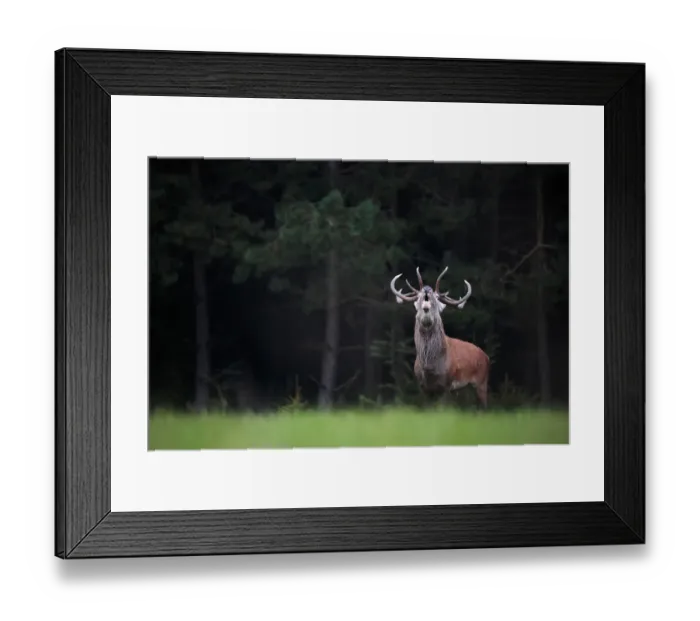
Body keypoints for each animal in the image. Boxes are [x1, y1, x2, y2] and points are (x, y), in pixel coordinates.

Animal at [390, 266, 490, 408]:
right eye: (419, 300)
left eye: (436, 301)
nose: (427, 289)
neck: (430, 367)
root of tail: (486, 357)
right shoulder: (423, 386)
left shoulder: (447, 384)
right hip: (464, 390)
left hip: (481, 382)